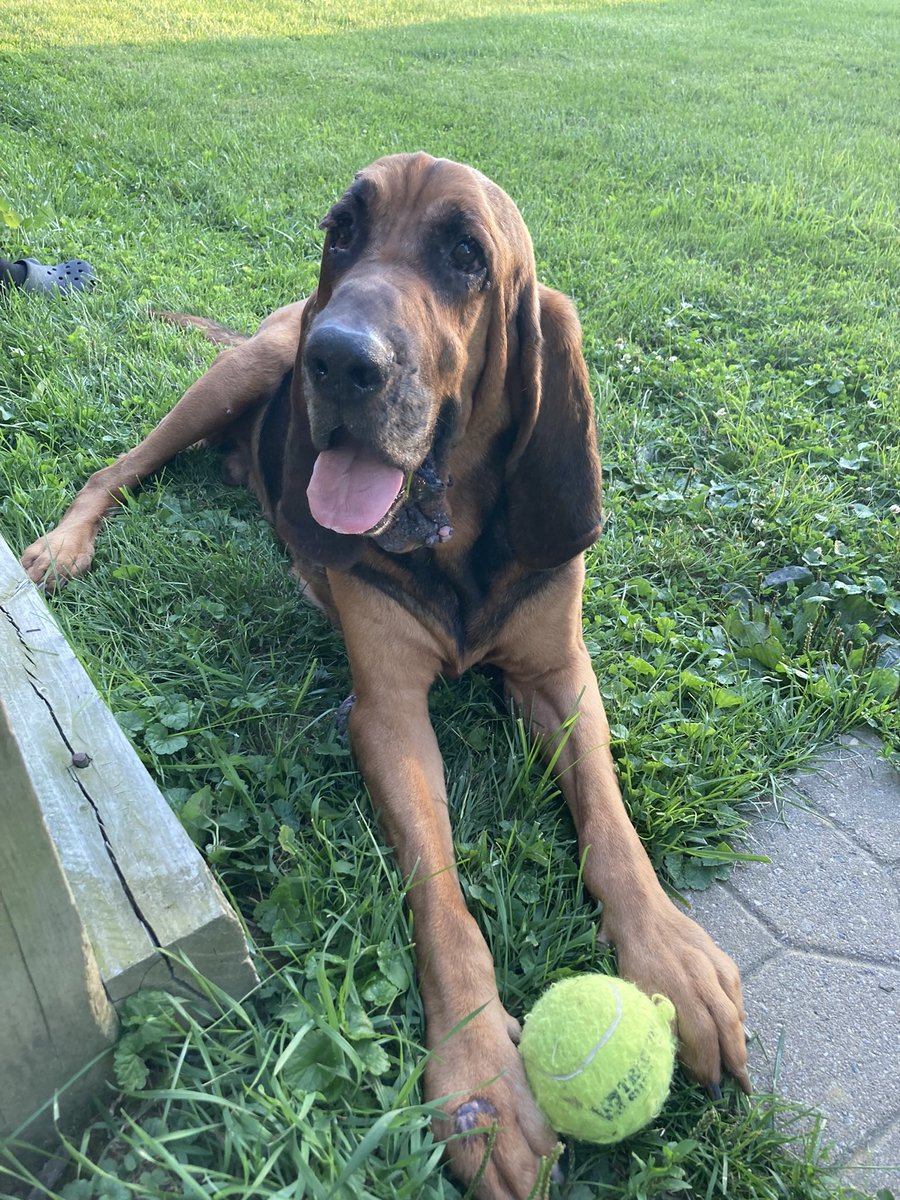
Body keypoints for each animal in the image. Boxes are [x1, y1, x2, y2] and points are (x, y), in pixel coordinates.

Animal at [22, 154, 753, 1200]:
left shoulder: (562, 677)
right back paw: (64, 543)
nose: (338, 362)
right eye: (342, 232)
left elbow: (611, 822)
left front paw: (673, 960)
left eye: (466, 257)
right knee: (114, 467)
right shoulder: (390, 715)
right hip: (236, 374)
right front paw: (482, 1073)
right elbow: (440, 890)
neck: (450, 536)